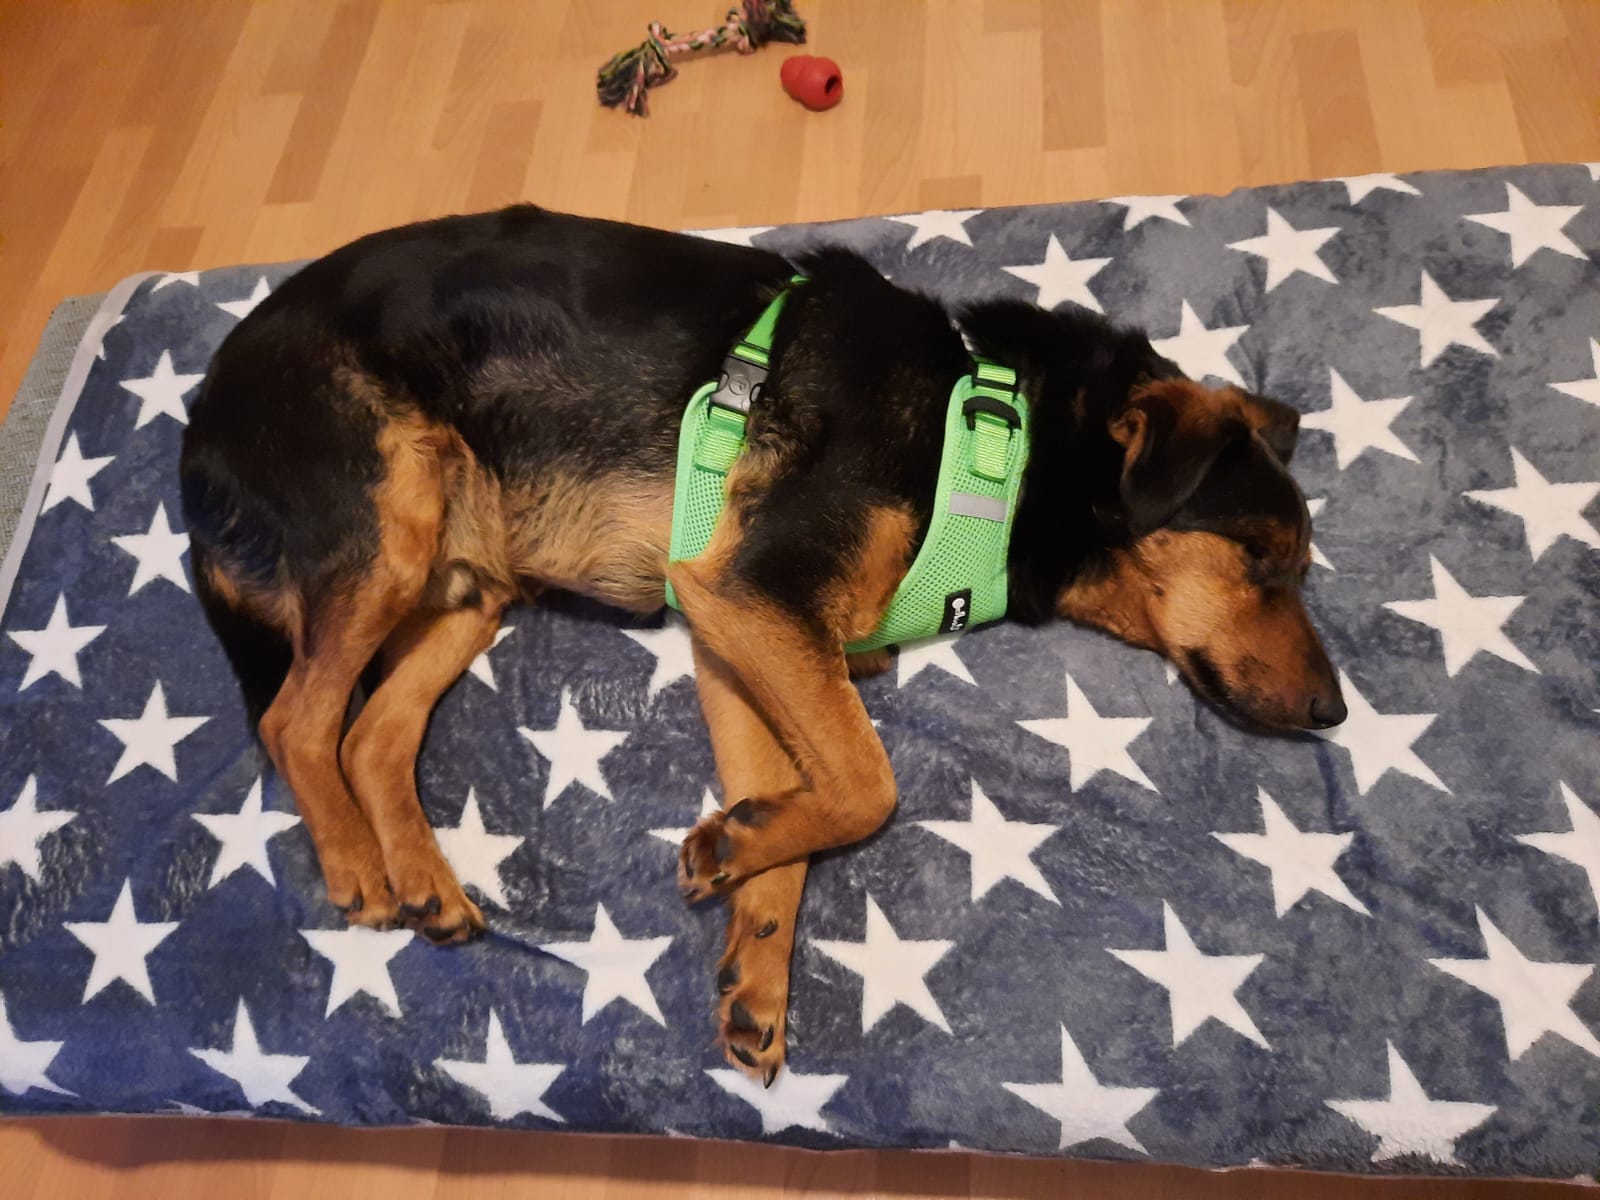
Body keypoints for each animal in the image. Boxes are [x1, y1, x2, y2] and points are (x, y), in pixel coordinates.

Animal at [179, 204, 1345, 1084]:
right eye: (1262, 559)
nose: (1336, 712)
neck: (991, 433)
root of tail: (199, 427)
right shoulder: (750, 598)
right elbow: (869, 782)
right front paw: (735, 857)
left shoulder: (738, 637)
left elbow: (804, 805)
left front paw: (751, 936)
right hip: (388, 518)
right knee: (298, 719)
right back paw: (356, 868)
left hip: (464, 586)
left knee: (370, 731)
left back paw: (423, 879)